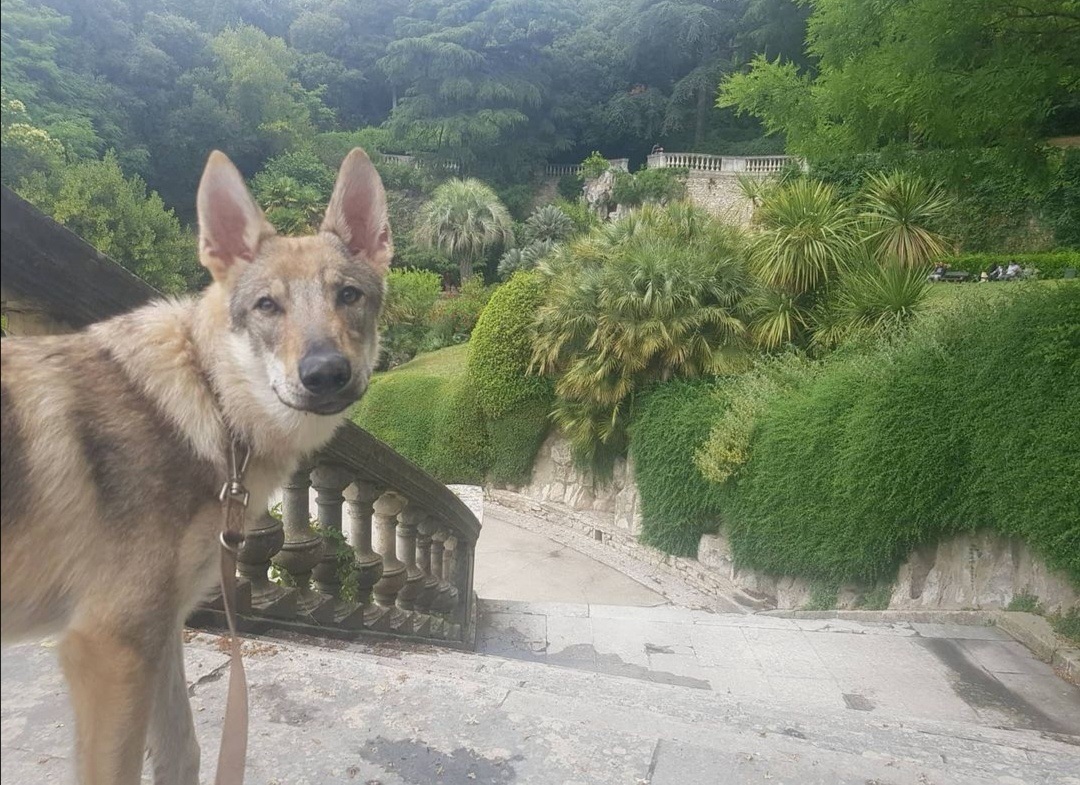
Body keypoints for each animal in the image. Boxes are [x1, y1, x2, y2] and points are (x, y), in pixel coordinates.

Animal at [1, 149, 393, 785]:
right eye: (267, 306)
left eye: (349, 296)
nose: (326, 373)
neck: (210, 401)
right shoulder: (110, 645)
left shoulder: (159, 632)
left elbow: (184, 752)